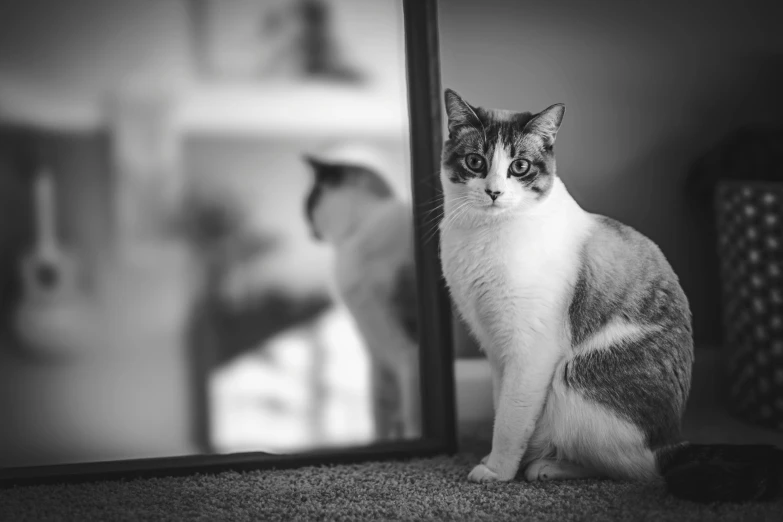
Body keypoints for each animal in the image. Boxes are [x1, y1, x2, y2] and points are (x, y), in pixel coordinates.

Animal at [304, 149, 422, 438]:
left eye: (309, 203)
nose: (307, 228)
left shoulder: (407, 351)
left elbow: (412, 418)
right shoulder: (377, 353)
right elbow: (380, 412)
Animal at [438, 88, 780, 500]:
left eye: (519, 167)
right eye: (476, 162)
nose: (494, 192)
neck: (484, 234)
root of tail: (672, 441)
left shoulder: (530, 350)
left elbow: (510, 420)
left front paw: (497, 471)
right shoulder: (495, 348)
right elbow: (502, 410)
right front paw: (499, 460)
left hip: (571, 379)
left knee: (637, 469)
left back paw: (546, 467)